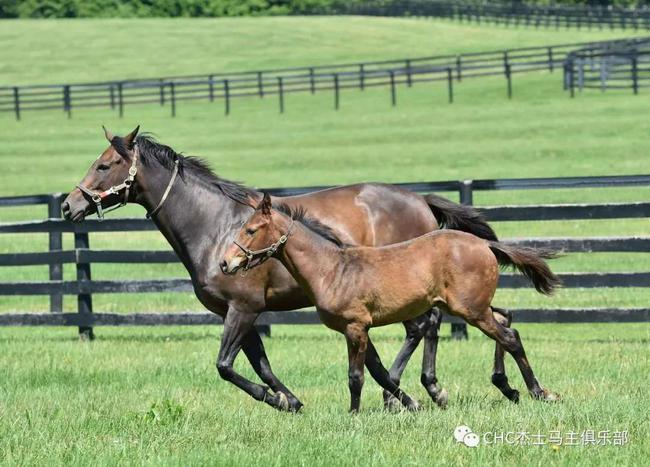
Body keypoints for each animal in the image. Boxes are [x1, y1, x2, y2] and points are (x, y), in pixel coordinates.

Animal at [62, 126, 518, 412]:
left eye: (104, 165)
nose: (69, 205)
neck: (216, 226)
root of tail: (420, 200)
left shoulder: (243, 308)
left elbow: (226, 366)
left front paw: (280, 399)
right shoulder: (241, 312)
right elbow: (259, 365)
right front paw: (289, 400)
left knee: (427, 328)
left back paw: (421, 391)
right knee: (434, 328)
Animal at [221, 194, 562, 412]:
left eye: (250, 230)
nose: (225, 263)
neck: (332, 269)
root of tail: (484, 244)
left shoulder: (355, 326)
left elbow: (356, 376)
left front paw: (354, 416)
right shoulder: (358, 329)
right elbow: (377, 371)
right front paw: (410, 403)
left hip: (471, 310)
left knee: (509, 337)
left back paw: (540, 393)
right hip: (471, 307)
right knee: (505, 320)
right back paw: (509, 389)